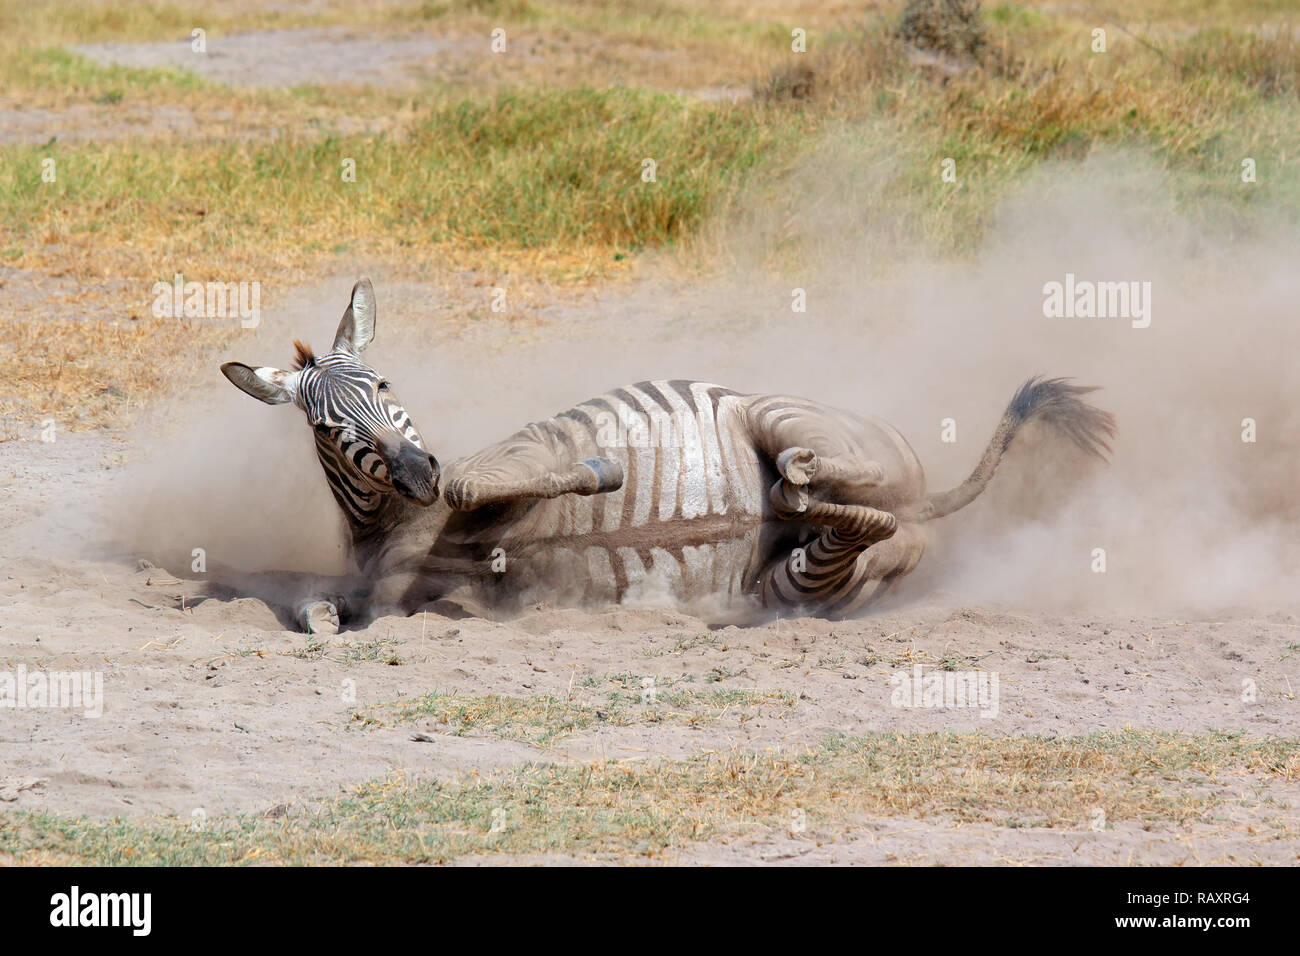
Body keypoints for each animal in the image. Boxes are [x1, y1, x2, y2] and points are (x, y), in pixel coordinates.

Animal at [223, 278, 1118, 634]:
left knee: (826, 469)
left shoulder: (520, 448)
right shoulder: (392, 591)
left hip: (782, 413)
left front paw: (603, 470)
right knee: (853, 526)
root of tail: (923, 506)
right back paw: (787, 515)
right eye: (327, 428)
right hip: (804, 579)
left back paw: (792, 477)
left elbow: (480, 482)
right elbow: (320, 611)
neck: (398, 525)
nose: (417, 475)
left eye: (383, 383)